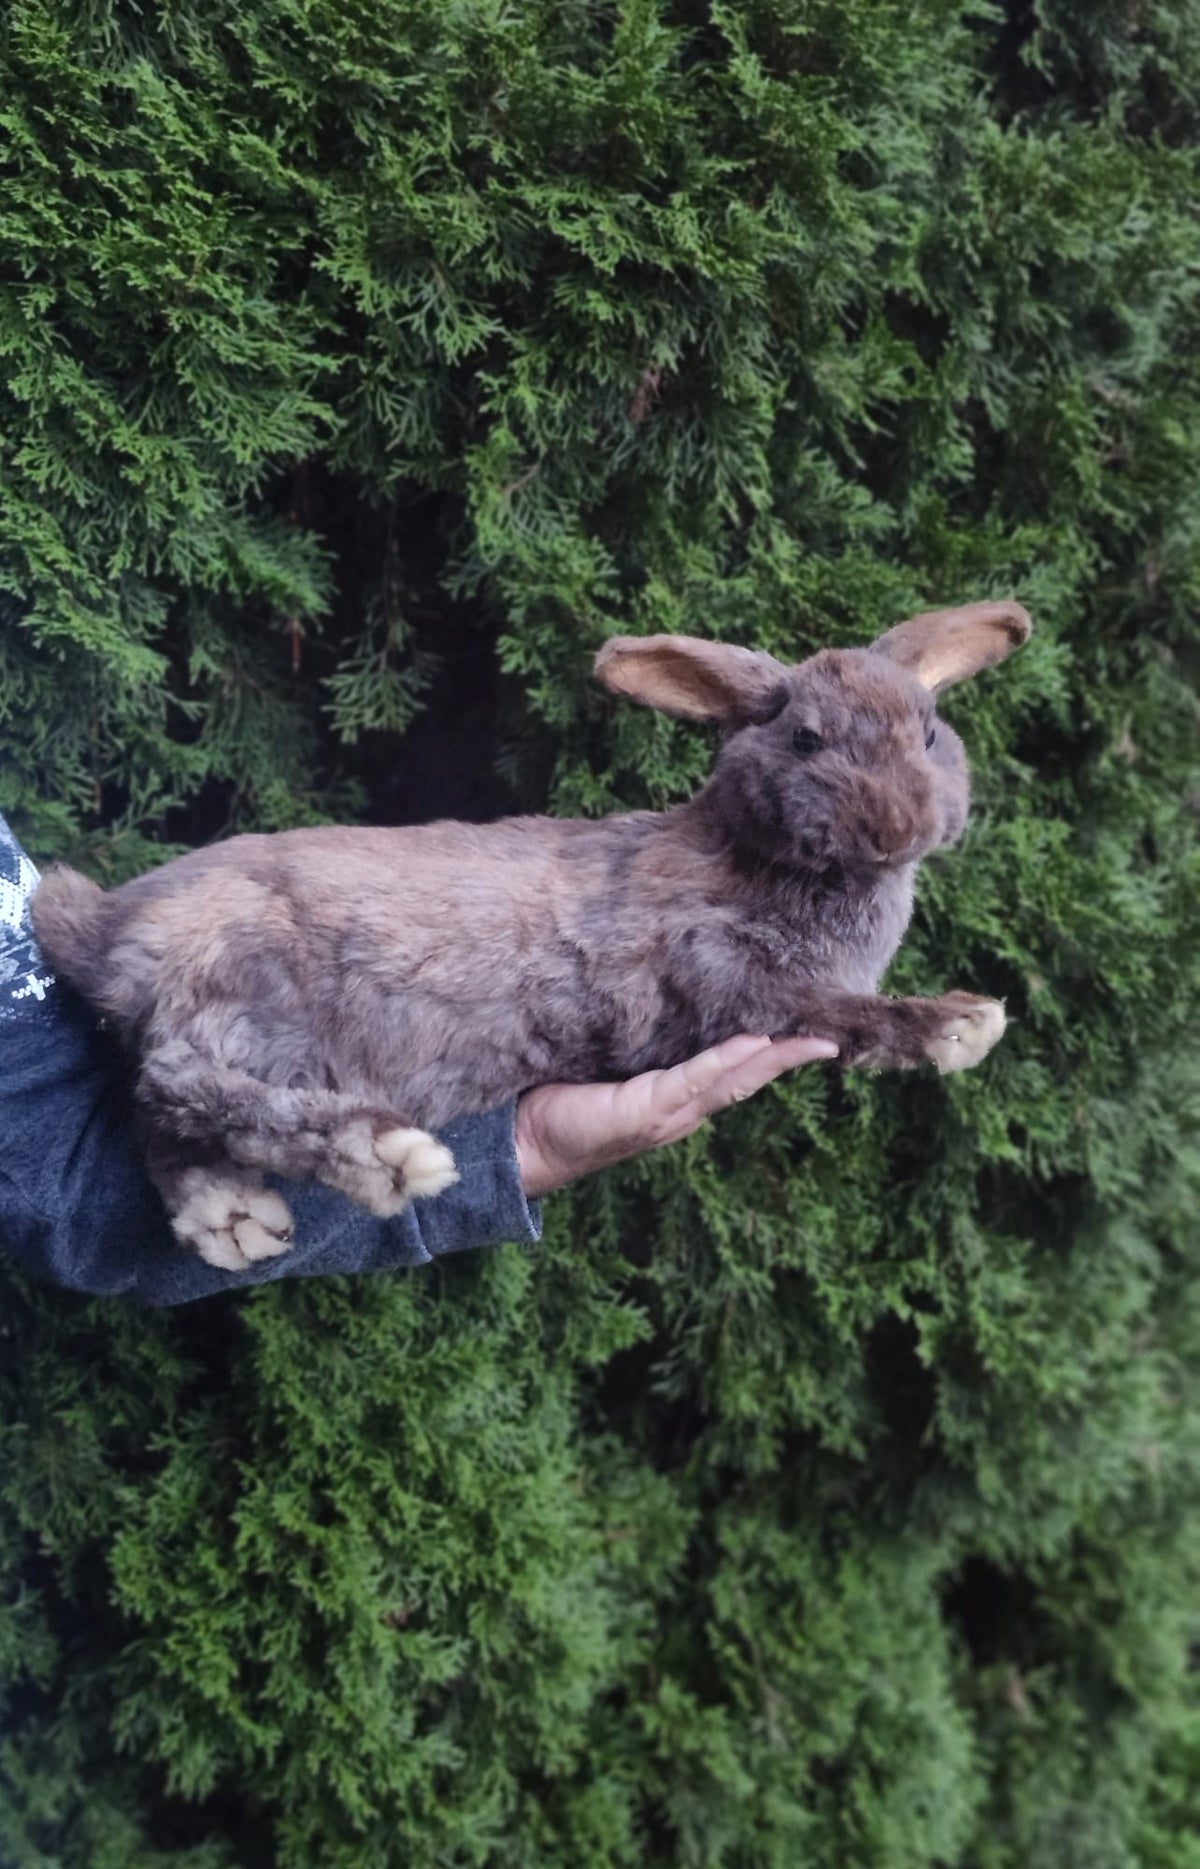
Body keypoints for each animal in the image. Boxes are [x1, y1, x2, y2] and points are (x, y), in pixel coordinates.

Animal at [31, 598, 1030, 1271]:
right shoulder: (729, 978)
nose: (898, 828)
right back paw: (382, 1156)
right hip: (249, 985)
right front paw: (959, 1023)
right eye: (808, 741)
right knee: (180, 1083)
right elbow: (840, 1012)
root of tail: (106, 926)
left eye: (930, 732)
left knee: (161, 1120)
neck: (751, 851)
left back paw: (233, 1219)